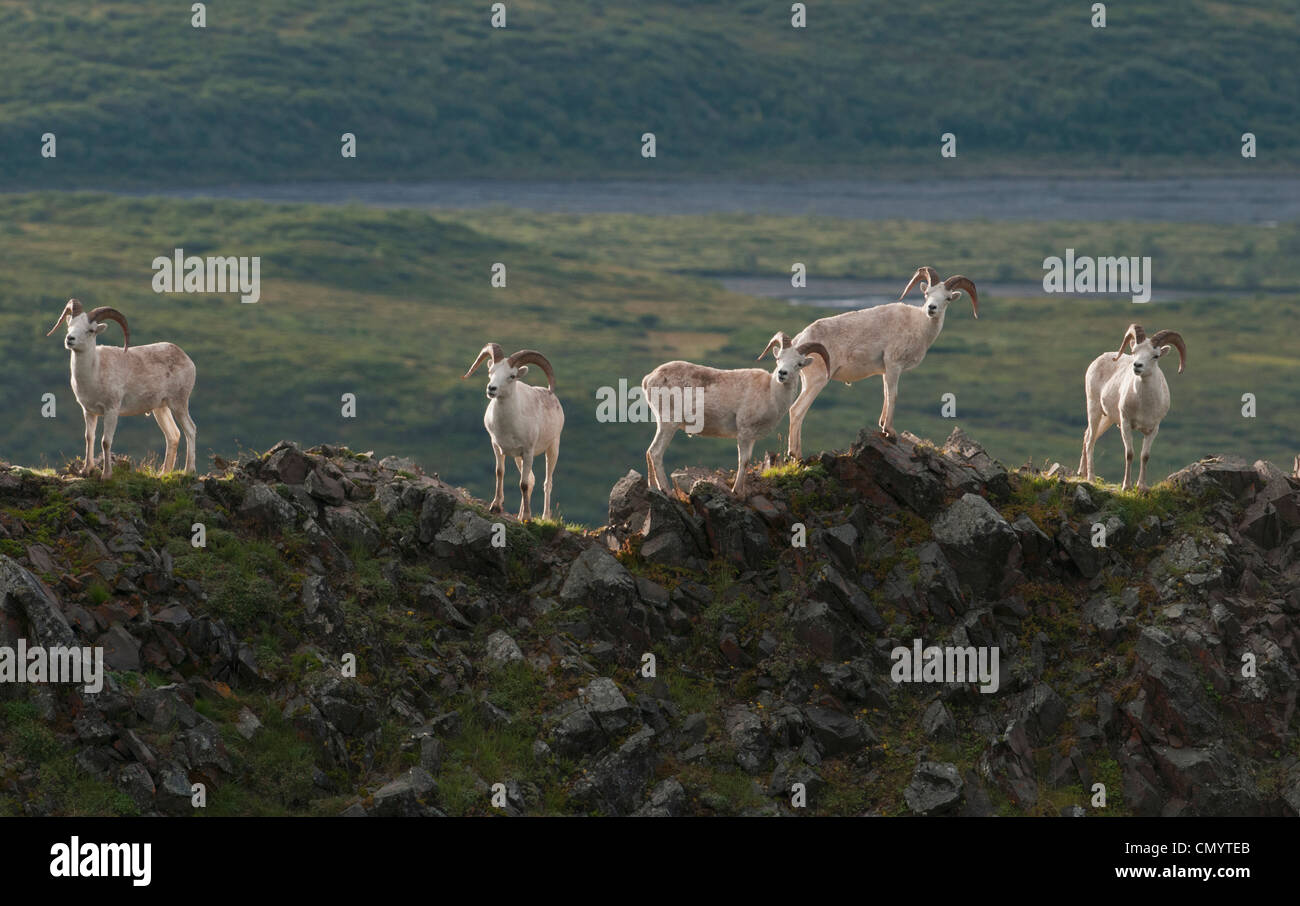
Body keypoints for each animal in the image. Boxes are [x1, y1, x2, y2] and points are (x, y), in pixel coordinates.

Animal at [45, 298, 195, 480]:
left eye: (90, 330)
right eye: (70, 325)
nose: (70, 339)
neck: (95, 371)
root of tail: (186, 359)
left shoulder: (111, 410)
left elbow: (105, 441)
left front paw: (106, 475)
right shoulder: (89, 412)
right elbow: (89, 438)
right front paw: (86, 471)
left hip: (178, 404)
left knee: (190, 430)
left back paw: (189, 471)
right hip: (161, 409)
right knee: (173, 435)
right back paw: (163, 473)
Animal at [462, 340, 564, 522]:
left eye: (512, 376)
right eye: (491, 372)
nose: (491, 389)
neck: (507, 426)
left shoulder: (528, 452)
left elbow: (523, 484)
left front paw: (527, 518)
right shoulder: (497, 447)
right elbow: (500, 473)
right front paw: (496, 507)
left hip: (552, 449)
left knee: (547, 483)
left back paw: (544, 518)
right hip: (519, 459)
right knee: (531, 480)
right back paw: (519, 515)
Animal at [642, 332, 832, 493]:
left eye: (798, 364)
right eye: (779, 359)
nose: (782, 373)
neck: (771, 393)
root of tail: (649, 378)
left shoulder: (752, 436)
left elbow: (746, 462)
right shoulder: (744, 433)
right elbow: (744, 460)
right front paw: (737, 492)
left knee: (650, 451)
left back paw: (653, 487)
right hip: (669, 423)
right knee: (656, 452)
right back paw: (666, 490)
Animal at [780, 265, 977, 454]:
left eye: (947, 298)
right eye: (927, 293)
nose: (931, 308)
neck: (919, 326)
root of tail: (799, 341)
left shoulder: (885, 370)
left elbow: (885, 394)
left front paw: (882, 426)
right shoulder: (894, 365)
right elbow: (893, 395)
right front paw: (890, 431)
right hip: (817, 381)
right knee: (797, 411)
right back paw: (795, 455)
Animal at [1081, 323, 1185, 488]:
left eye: (1155, 356)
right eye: (1134, 351)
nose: (1137, 365)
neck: (1144, 405)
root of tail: (1097, 360)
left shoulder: (1153, 429)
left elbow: (1145, 456)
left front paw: (1141, 487)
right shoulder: (1126, 424)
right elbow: (1129, 454)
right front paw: (1126, 486)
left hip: (1107, 418)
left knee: (1087, 436)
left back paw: (1082, 474)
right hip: (1094, 409)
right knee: (1090, 440)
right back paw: (1090, 478)